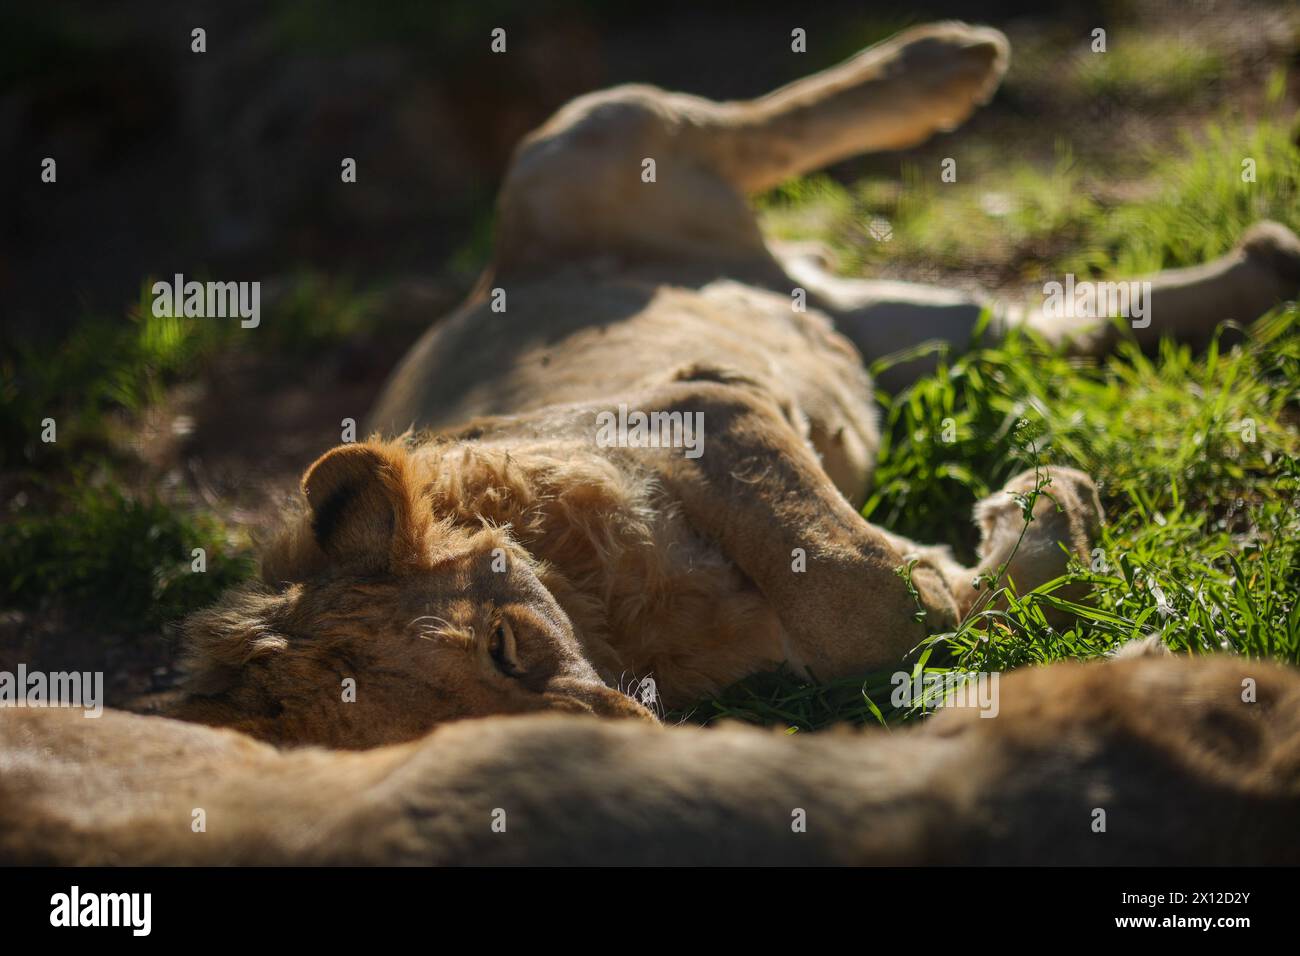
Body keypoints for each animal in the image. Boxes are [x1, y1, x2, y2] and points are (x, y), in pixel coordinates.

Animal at [167, 22, 1294, 749]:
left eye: (504, 645)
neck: (610, 621)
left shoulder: (700, 408)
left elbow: (859, 589)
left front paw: (1008, 524)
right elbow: (934, 605)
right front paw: (1030, 519)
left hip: (573, 152)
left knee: (745, 125)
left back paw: (952, 60)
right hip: (922, 343)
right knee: (1052, 321)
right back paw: (1266, 264)